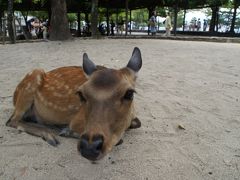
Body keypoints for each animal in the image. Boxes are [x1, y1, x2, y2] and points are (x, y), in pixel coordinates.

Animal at [6, 47, 142, 161]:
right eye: (81, 94)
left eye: (129, 93)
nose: (89, 148)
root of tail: (14, 95)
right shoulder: (76, 120)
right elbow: (120, 139)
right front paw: (66, 131)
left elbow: (137, 123)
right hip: (32, 78)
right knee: (11, 120)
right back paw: (50, 134)